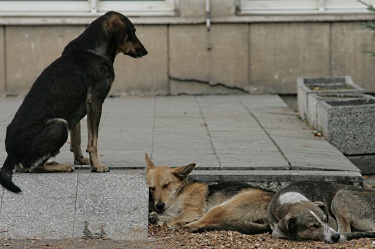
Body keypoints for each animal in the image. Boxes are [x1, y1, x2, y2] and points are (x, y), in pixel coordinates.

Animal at [145, 155, 274, 234]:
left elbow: (171, 220)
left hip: (222, 208)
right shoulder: (173, 212)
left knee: (197, 224)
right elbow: (166, 216)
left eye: (166, 185)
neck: (178, 193)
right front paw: (155, 217)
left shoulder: (193, 210)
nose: (159, 206)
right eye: (151, 188)